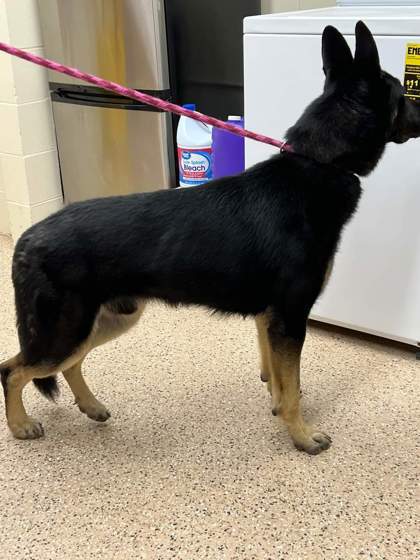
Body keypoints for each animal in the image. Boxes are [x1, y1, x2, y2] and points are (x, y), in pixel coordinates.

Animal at [0, 20, 420, 456]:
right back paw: (20, 425)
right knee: (12, 370)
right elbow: (293, 389)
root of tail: (27, 237)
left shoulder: (270, 321)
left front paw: (278, 412)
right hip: (66, 329)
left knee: (68, 364)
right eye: (403, 95)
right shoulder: (289, 319)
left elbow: (278, 381)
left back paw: (91, 405)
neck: (318, 161)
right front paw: (302, 435)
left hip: (106, 320)